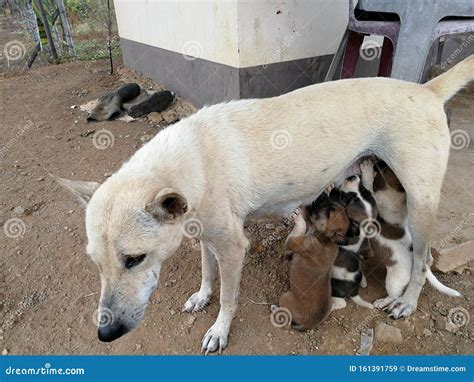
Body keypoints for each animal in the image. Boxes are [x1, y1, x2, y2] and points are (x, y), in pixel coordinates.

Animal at [276, 194, 354, 332]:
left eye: (329, 212)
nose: (322, 195)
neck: (325, 240)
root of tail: (309, 324)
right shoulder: (310, 225)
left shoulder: (294, 242)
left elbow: (300, 227)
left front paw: (298, 217)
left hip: (285, 297)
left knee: (287, 324)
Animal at [368, 161, 462, 310]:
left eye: (387, 169)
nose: (378, 162)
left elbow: (367, 184)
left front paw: (364, 170)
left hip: (393, 282)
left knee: (394, 295)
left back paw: (383, 301)